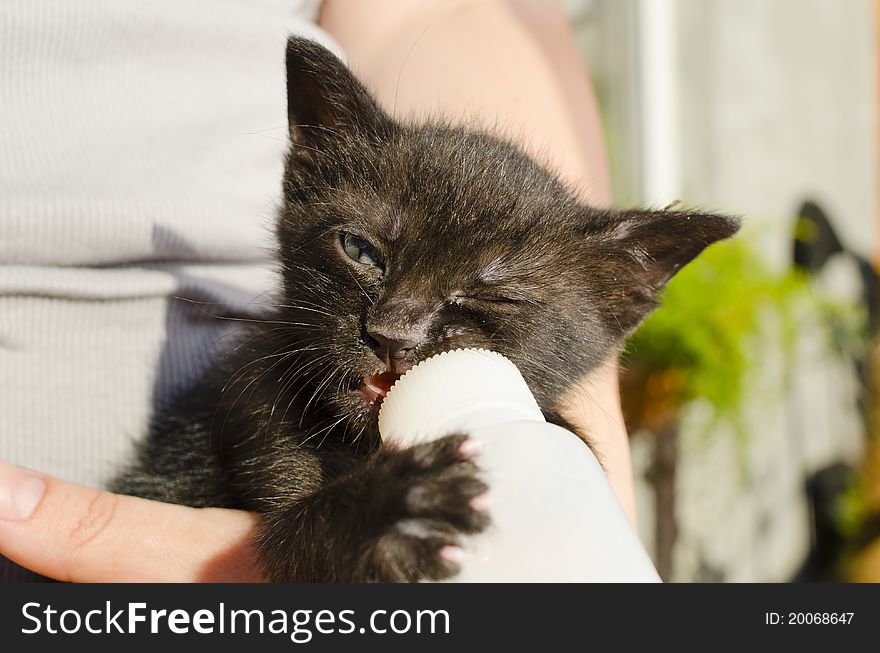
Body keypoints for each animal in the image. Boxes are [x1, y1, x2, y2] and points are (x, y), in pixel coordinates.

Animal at [111, 38, 744, 580]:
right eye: (361, 250)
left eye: (495, 295)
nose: (393, 334)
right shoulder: (258, 414)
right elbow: (294, 537)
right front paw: (395, 507)